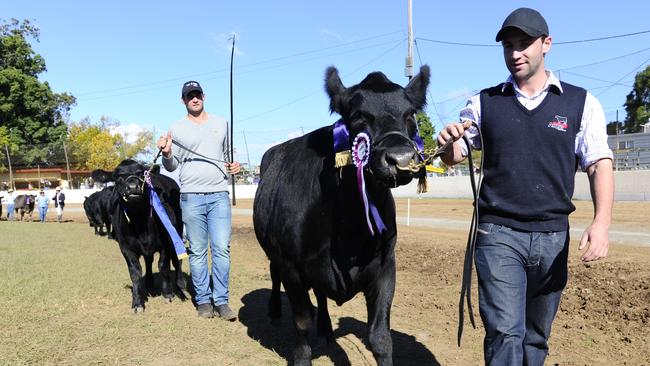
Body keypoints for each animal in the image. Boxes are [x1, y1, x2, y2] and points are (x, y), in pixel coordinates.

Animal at [90, 160, 185, 312]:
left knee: (176, 260)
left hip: (178, 231)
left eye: (141, 174)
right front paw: (137, 302)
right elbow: (135, 273)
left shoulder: (165, 243)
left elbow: (163, 266)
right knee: (148, 260)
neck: (140, 224)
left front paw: (168, 294)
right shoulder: (126, 248)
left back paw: (179, 284)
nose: (133, 187)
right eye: (118, 176)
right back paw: (149, 281)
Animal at [254, 66, 430, 366]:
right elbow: (302, 322)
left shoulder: (385, 266)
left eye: (409, 114)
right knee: (275, 276)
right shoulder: (291, 266)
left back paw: (326, 329)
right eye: (358, 115)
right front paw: (301, 356)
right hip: (274, 253)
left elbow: (380, 337)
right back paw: (275, 311)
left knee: (321, 295)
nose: (401, 159)